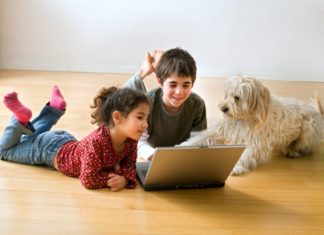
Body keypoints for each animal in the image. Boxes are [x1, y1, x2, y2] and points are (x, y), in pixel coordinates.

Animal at [181, 75, 322, 174]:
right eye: (228, 94)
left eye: (237, 97)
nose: (223, 108)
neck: (243, 119)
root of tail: (316, 110)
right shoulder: (220, 131)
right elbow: (200, 138)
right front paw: (182, 146)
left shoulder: (256, 143)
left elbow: (245, 154)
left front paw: (236, 166)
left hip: (309, 128)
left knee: (307, 148)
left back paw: (292, 151)